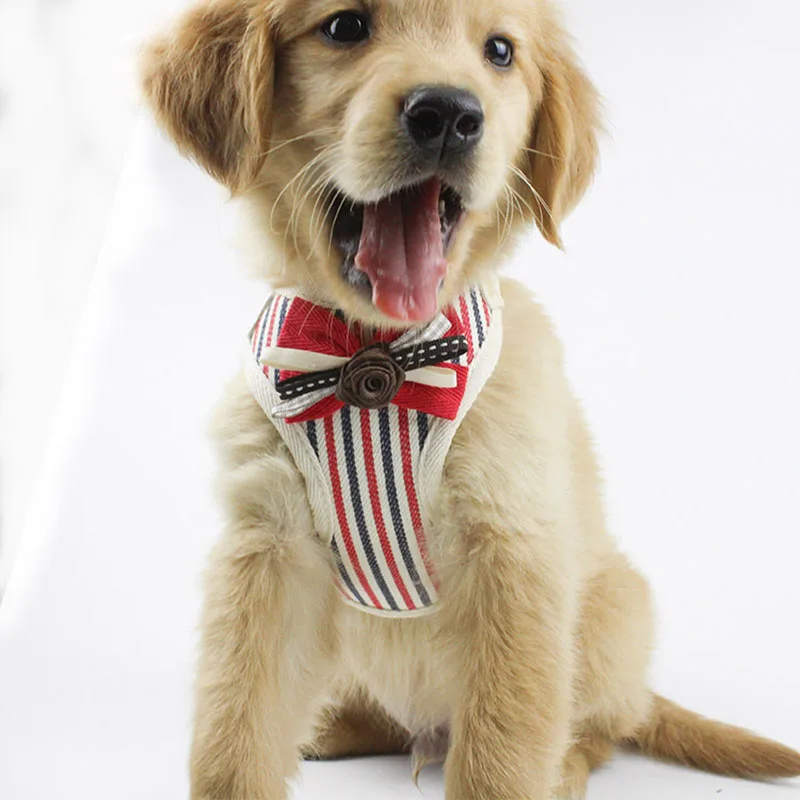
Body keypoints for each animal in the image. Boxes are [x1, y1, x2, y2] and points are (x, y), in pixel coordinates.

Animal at [141, 1, 800, 797]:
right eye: (345, 27)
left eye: (500, 51)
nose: (449, 114)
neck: (379, 365)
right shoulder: (268, 546)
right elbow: (235, 728)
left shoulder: (511, 548)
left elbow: (502, 747)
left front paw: (521, 770)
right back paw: (333, 728)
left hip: (615, 606)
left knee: (599, 726)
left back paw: (564, 766)